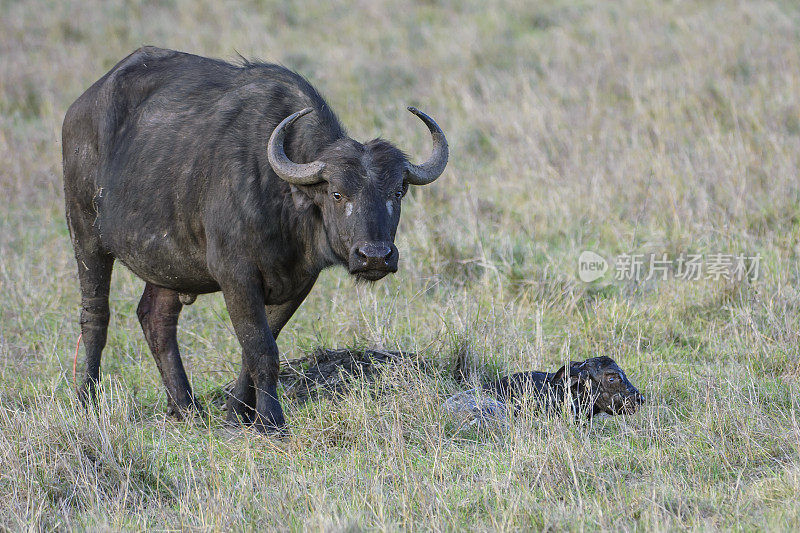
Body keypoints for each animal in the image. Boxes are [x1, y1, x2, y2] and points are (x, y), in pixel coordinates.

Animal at [61, 46, 450, 432]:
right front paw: (270, 420)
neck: (283, 199)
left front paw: (237, 413)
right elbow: (261, 348)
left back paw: (185, 407)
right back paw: (87, 400)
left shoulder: (298, 282)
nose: (375, 256)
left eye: (397, 192)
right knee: (95, 316)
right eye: (337, 194)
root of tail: (80, 108)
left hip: (168, 265)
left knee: (155, 318)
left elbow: (258, 346)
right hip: (85, 235)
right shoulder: (236, 276)